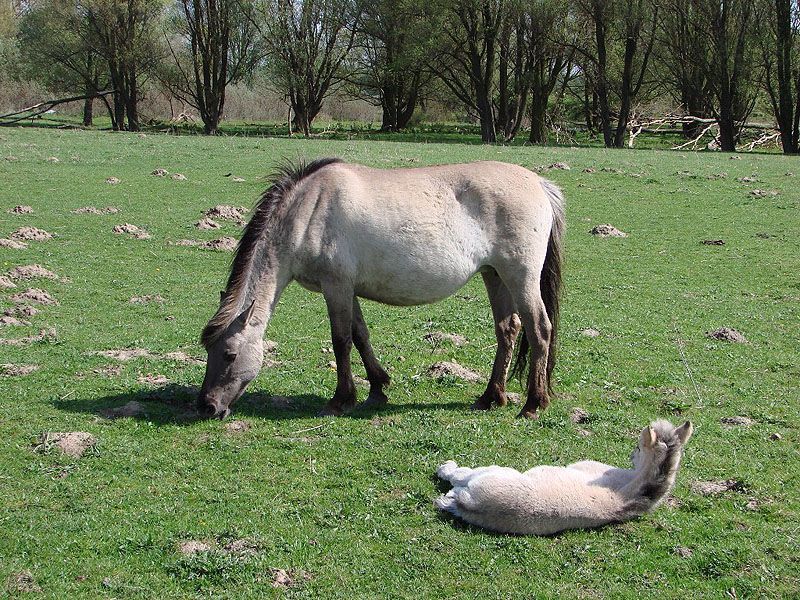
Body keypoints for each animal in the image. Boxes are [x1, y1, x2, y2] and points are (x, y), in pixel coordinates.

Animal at [198, 159, 564, 422]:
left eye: (230, 354)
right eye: (209, 351)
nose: (207, 406)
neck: (308, 212)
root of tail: (540, 184)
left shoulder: (336, 287)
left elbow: (341, 341)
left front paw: (341, 399)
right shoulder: (349, 290)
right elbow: (361, 336)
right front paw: (377, 388)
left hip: (520, 276)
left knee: (539, 329)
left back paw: (533, 404)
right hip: (494, 275)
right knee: (508, 330)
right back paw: (491, 397)